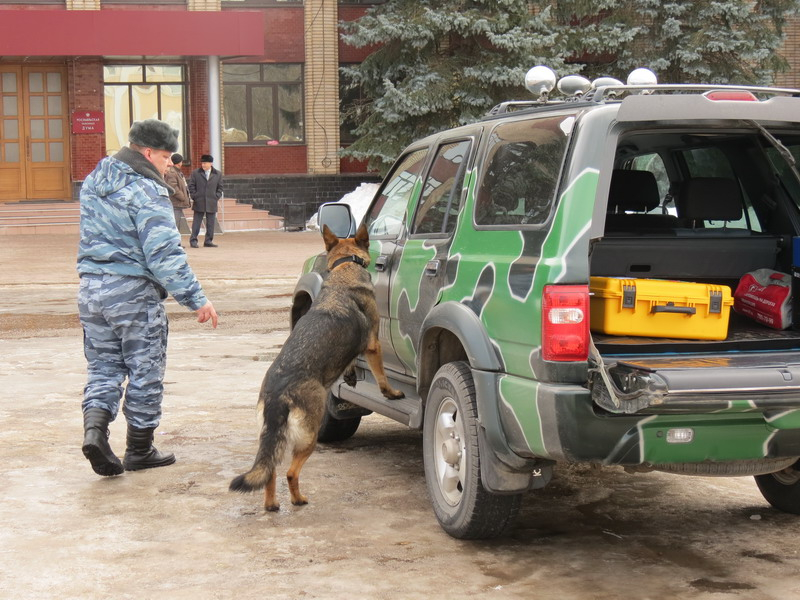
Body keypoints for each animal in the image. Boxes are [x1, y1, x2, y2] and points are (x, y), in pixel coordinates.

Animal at [231, 223, 406, 508]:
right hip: (309, 437)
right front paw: (391, 393)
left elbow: (350, 363)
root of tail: (278, 394)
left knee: (271, 471)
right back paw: (298, 499)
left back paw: (272, 505)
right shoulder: (373, 345)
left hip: (274, 439)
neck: (345, 268)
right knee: (291, 472)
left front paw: (350, 375)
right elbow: (381, 376)